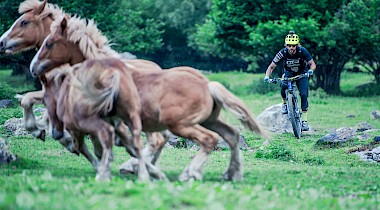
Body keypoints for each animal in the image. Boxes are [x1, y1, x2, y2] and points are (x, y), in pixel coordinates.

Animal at [30, 15, 268, 181]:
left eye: (49, 43)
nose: (33, 67)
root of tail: (207, 85)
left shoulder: (117, 122)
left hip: (179, 124)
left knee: (208, 140)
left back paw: (188, 173)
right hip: (208, 120)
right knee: (232, 135)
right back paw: (231, 174)